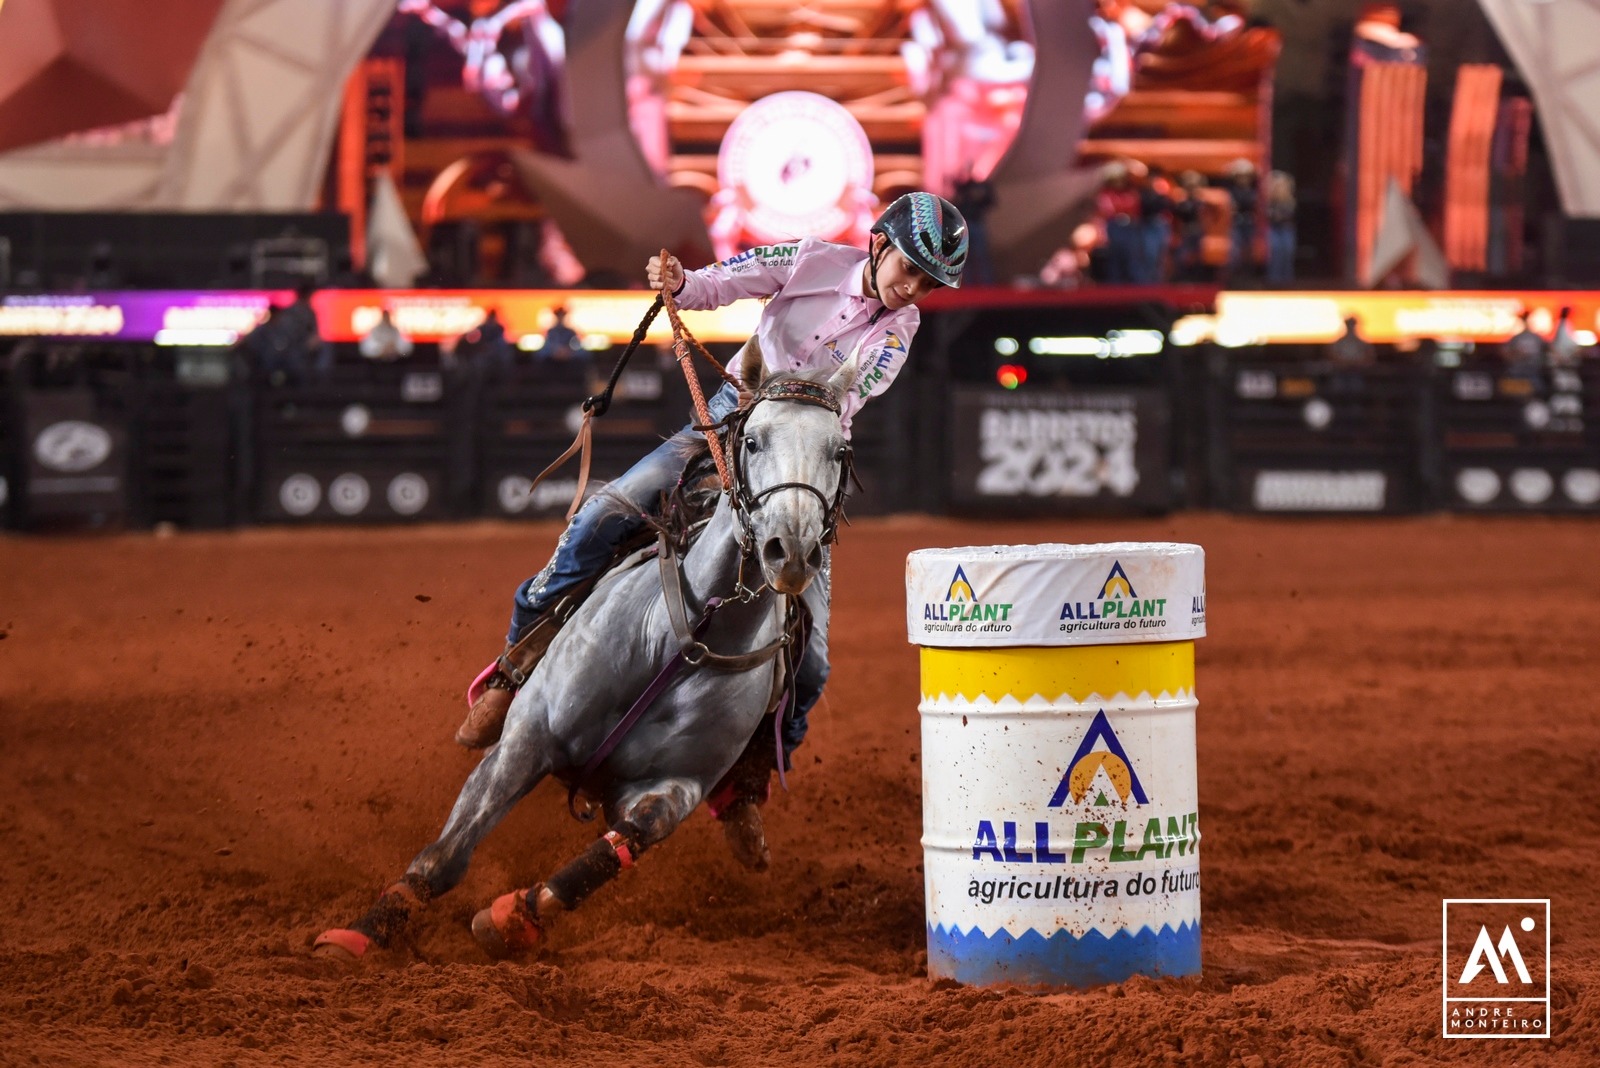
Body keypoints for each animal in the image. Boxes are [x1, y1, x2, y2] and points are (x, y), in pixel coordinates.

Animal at [316, 348, 857, 959]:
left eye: (839, 451)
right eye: (753, 440)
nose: (791, 551)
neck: (686, 636)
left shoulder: (673, 788)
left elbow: (615, 849)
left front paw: (514, 916)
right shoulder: (528, 739)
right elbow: (448, 854)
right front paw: (359, 934)